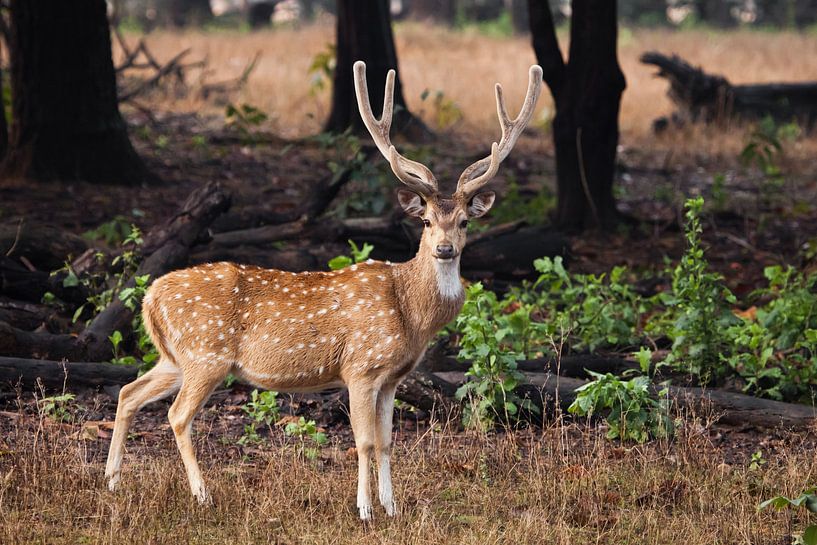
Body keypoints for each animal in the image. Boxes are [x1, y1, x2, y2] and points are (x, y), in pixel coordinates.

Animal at [104, 60, 543, 521]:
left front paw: (392, 507)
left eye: (464, 221)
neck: (409, 312)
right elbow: (364, 442)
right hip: (206, 353)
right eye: (425, 221)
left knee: (128, 393)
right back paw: (201, 494)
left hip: (176, 357)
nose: (444, 249)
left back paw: (113, 480)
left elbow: (388, 442)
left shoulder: (393, 378)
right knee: (176, 415)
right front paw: (365, 510)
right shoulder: (361, 367)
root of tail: (149, 298)